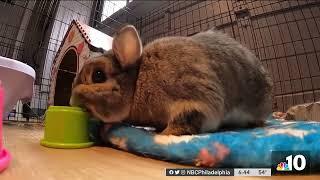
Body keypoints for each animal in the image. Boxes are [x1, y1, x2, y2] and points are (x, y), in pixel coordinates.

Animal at [70, 24, 272, 136]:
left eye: (98, 75)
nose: (71, 101)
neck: (138, 82)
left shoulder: (195, 100)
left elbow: (187, 119)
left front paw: (165, 135)